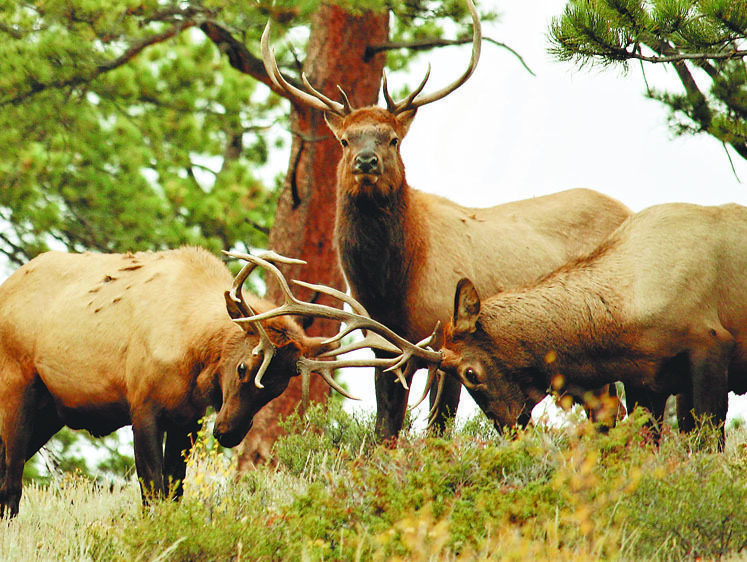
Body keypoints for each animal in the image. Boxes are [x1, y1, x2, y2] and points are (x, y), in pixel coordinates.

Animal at [0, 246, 394, 516]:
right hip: (16, 384)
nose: (229, 433)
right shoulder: (142, 406)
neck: (192, 353)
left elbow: (174, 491)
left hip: (51, 410)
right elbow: (153, 491)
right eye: (243, 368)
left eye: (279, 388)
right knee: (11, 481)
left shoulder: (188, 418)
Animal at [262, 0, 632, 438]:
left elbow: (438, 427)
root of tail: (628, 209)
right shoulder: (383, 348)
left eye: (393, 139)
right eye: (344, 140)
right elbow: (385, 429)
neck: (391, 288)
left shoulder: (446, 340)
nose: (366, 161)